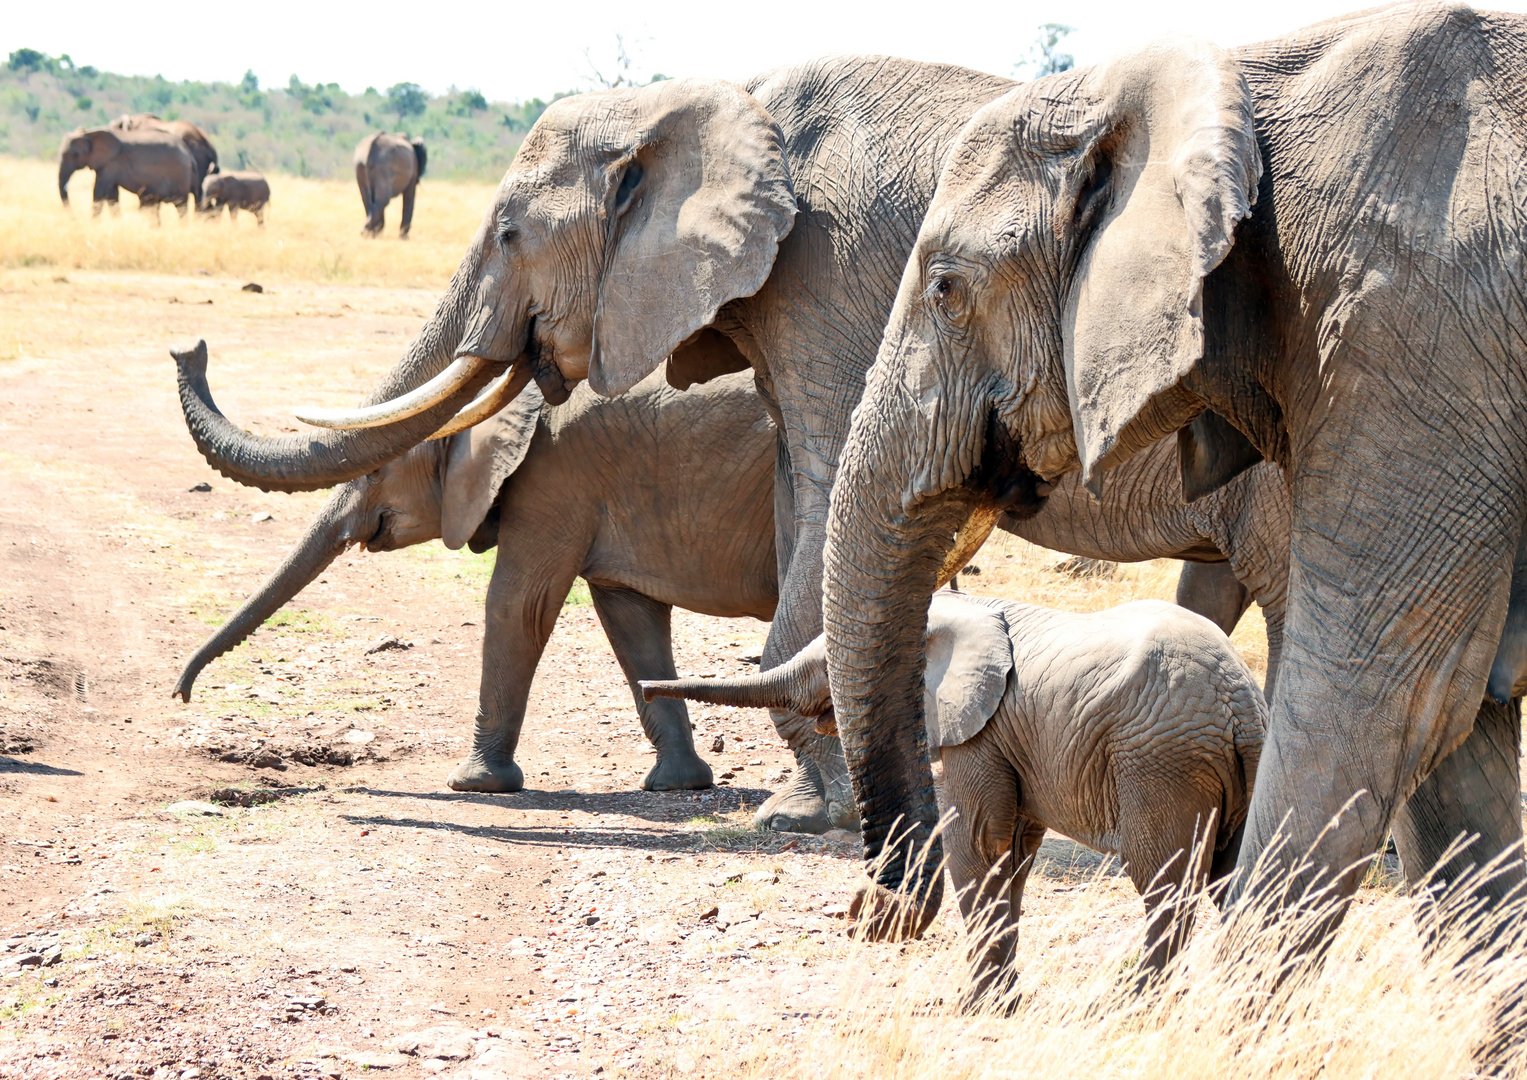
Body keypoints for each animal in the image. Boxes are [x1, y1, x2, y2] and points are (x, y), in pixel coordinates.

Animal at [57, 126, 200, 216]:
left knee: (180, 205)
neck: (89, 132)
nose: (74, 219)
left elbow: (99, 192)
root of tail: (190, 156)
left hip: (180, 175)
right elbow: (112, 195)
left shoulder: (111, 163)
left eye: (75, 154)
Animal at [173, 346, 781, 794]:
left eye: (373, 469)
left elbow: (518, 606)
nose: (180, 693)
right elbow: (631, 620)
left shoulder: (557, 475)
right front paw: (678, 784)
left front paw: (474, 785)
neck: (502, 395)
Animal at [641, 592, 1264, 995]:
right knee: (1234, 872)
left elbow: (979, 842)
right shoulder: (1013, 738)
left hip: (1161, 762)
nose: (646, 687)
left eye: (827, 665)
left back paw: (1132, 1002)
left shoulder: (980, 731)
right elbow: (1015, 853)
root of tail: (1239, 700)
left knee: (1166, 881)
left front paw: (977, 1007)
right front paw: (1001, 998)